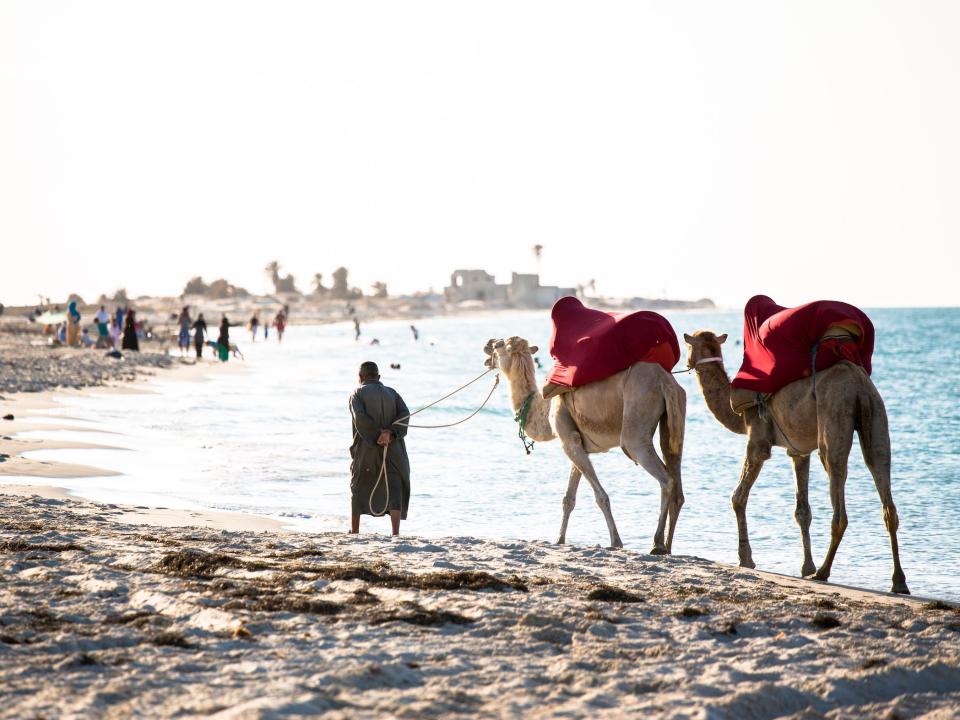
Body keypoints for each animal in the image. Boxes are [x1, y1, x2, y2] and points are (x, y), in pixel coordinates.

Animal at [484, 338, 688, 552]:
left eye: (498, 345)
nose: (487, 344)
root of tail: (665, 382)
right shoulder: (575, 442)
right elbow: (568, 499)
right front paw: (559, 539)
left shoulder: (567, 438)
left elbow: (600, 496)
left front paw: (616, 542)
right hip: (675, 419)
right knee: (675, 475)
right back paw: (667, 547)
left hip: (636, 429)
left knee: (665, 479)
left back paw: (657, 544)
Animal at [684, 330, 908, 592]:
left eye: (688, 345)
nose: (686, 362)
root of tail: (858, 385)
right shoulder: (798, 451)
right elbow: (802, 510)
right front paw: (806, 567)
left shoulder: (758, 439)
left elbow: (738, 497)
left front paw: (746, 559)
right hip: (876, 414)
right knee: (883, 482)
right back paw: (898, 581)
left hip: (834, 415)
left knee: (838, 489)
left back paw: (823, 572)